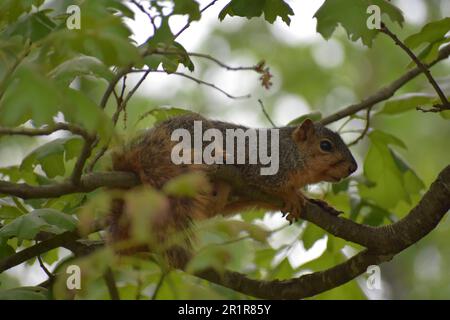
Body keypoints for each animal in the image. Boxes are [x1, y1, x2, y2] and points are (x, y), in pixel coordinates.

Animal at [110, 112, 358, 268]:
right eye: (325, 145)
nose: (353, 168)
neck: (290, 150)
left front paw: (318, 203)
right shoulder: (261, 166)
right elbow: (269, 183)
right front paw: (292, 196)